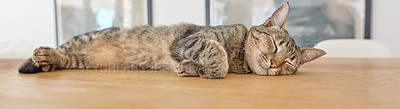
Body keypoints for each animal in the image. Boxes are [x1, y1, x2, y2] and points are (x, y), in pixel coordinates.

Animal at [18, 2, 324, 79]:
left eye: (288, 64)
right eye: (274, 46)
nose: (274, 64)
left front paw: (190, 68)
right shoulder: (191, 39)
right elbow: (217, 56)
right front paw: (207, 69)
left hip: (84, 61)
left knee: (68, 59)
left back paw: (48, 62)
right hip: (87, 37)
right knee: (63, 50)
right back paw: (44, 57)